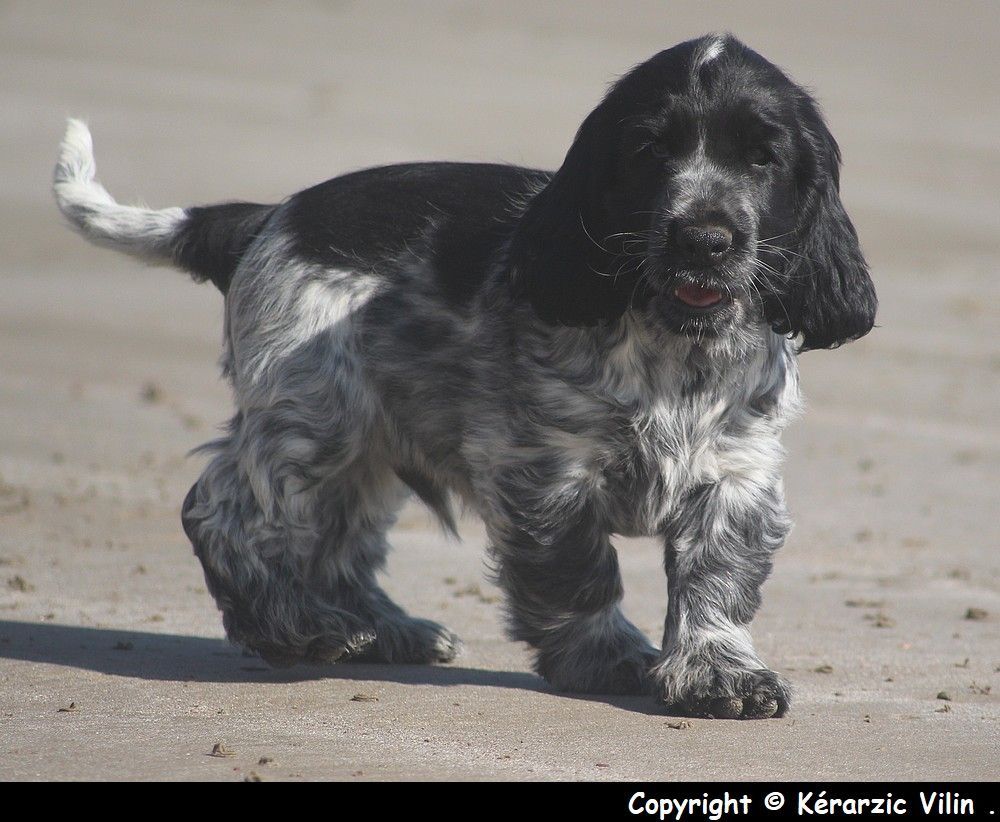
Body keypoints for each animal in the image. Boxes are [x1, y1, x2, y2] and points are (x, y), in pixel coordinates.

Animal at [54, 34, 875, 719]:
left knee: (337, 543)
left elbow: (717, 580)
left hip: (365, 443)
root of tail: (267, 217)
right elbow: (577, 574)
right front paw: (608, 659)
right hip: (317, 413)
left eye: (763, 158)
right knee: (224, 510)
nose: (705, 238)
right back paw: (297, 627)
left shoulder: (737, 473)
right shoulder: (545, 472)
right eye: (651, 151)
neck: (674, 345)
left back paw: (383, 632)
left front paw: (720, 675)